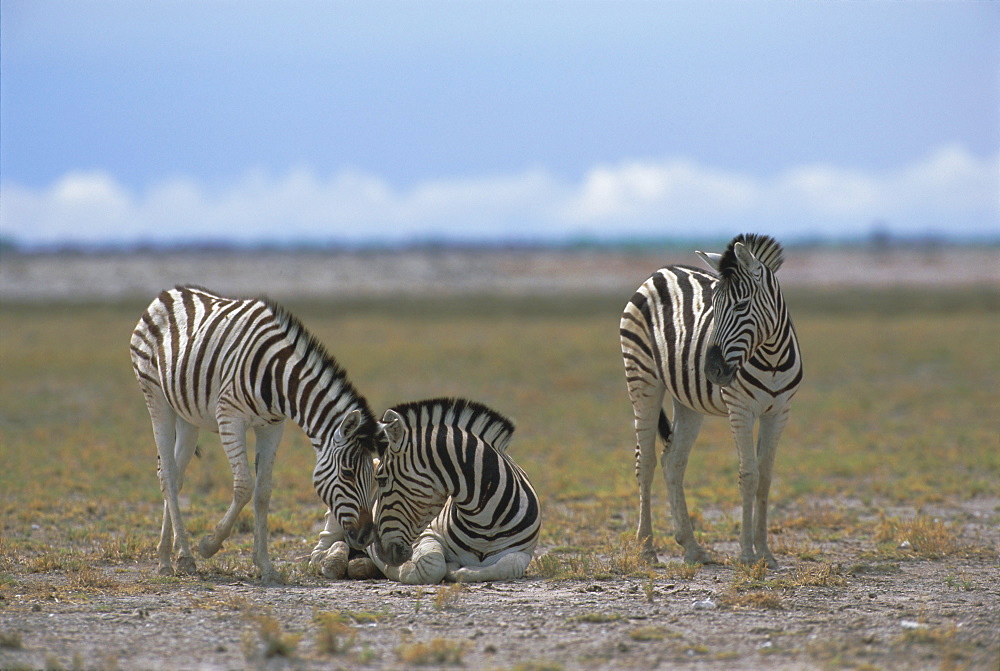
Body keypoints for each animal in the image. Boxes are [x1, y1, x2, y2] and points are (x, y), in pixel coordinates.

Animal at [131, 284, 380, 584]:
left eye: (374, 476)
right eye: (347, 473)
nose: (366, 536)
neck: (278, 378)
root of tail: (169, 292)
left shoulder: (272, 426)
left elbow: (263, 492)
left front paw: (265, 566)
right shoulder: (230, 417)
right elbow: (244, 486)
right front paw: (209, 545)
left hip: (187, 415)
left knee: (176, 477)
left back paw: (172, 556)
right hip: (155, 395)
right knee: (167, 475)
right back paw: (179, 560)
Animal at [364, 400, 540, 584]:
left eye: (382, 479)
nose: (380, 551)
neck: (485, 525)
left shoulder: (523, 551)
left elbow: (507, 566)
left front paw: (459, 570)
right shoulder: (427, 533)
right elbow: (432, 566)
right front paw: (401, 570)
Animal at [620, 234, 800, 568]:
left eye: (742, 305)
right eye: (713, 307)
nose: (711, 369)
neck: (771, 357)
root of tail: (660, 272)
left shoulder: (779, 412)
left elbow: (766, 478)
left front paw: (765, 553)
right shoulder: (740, 410)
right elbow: (749, 475)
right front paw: (746, 554)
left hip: (688, 402)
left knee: (672, 461)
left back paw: (692, 548)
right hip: (642, 379)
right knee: (645, 461)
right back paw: (647, 549)